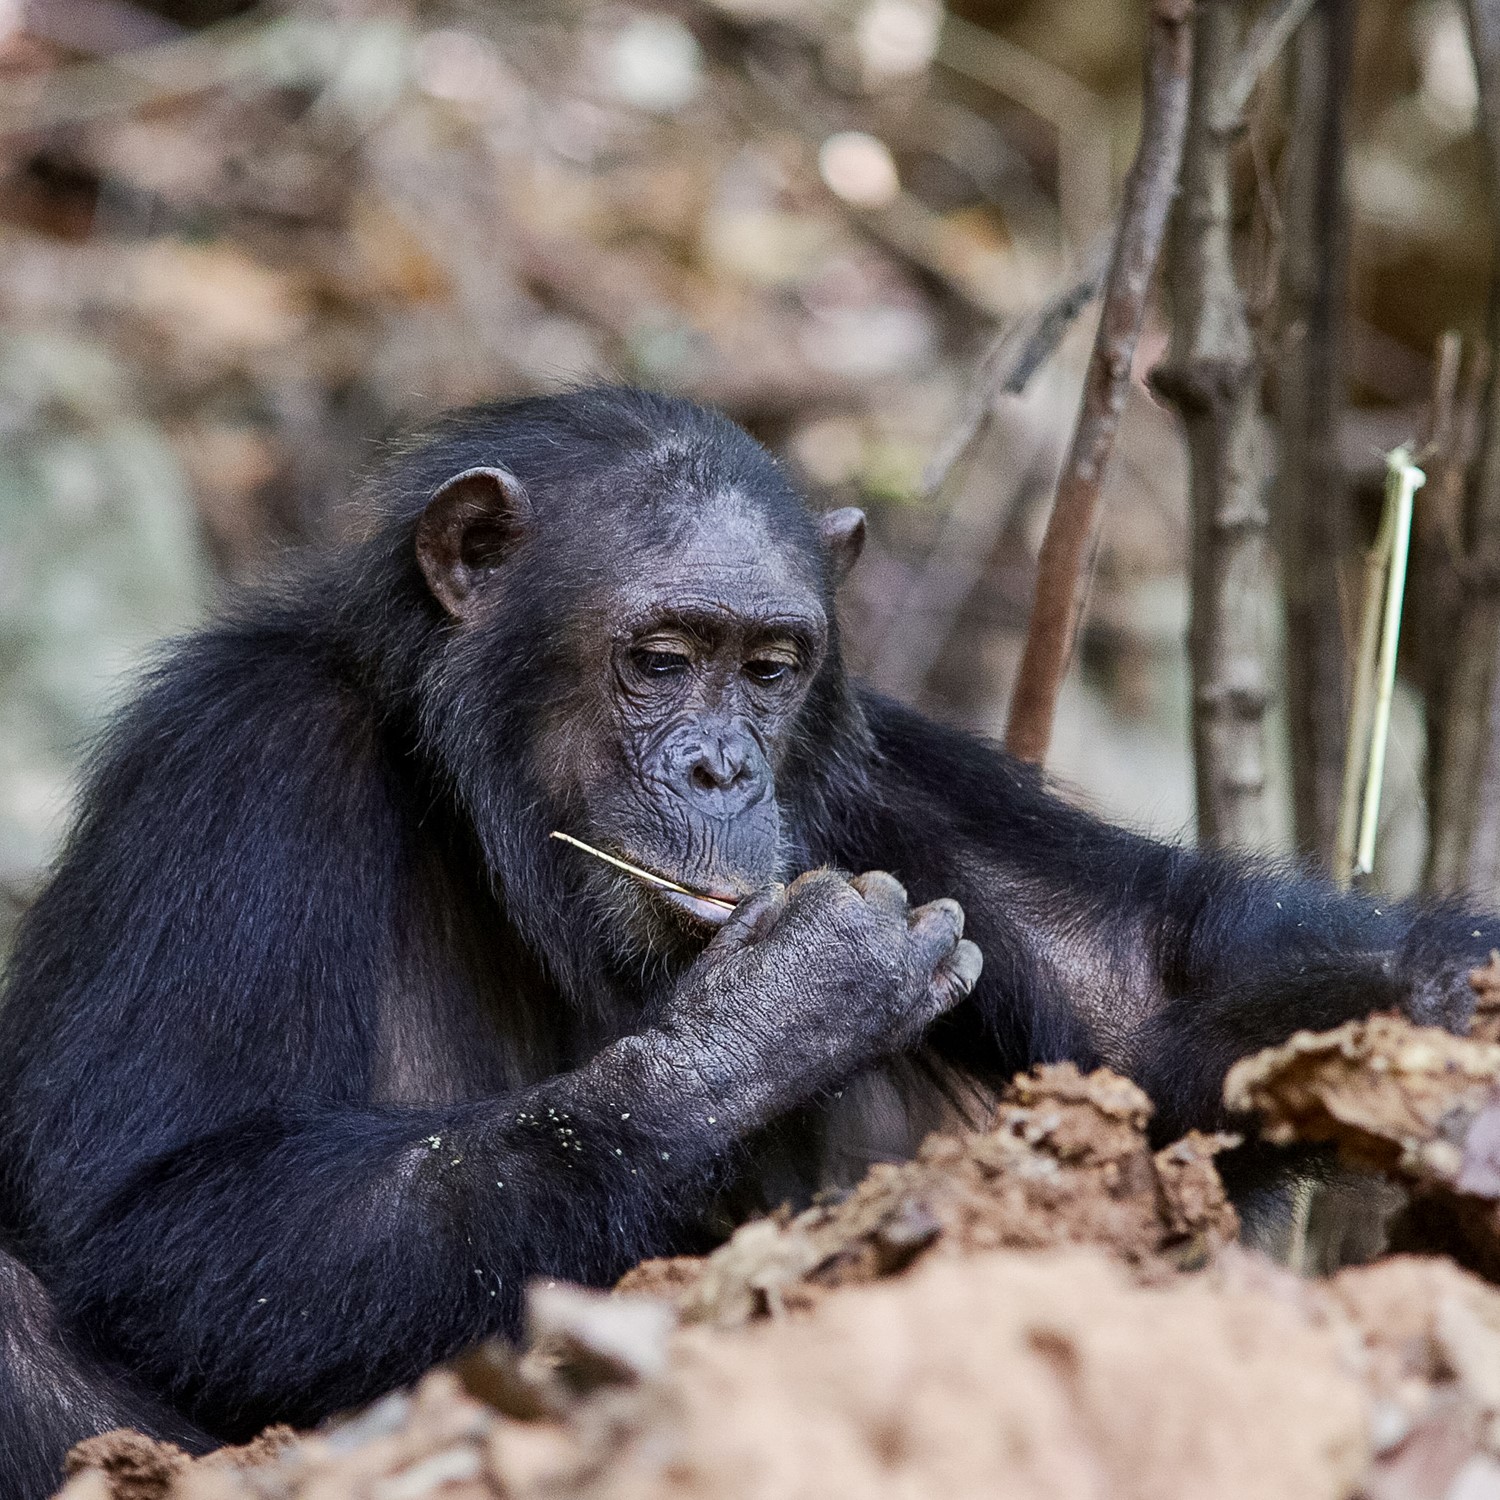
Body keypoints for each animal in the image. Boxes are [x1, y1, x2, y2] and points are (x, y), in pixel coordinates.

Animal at [0, 390, 1488, 1500]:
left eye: (769, 669)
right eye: (662, 657)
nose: (724, 768)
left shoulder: (874, 763)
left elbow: (1143, 990)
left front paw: (1460, 1006)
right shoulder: (235, 767)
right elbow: (164, 1197)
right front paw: (778, 1010)